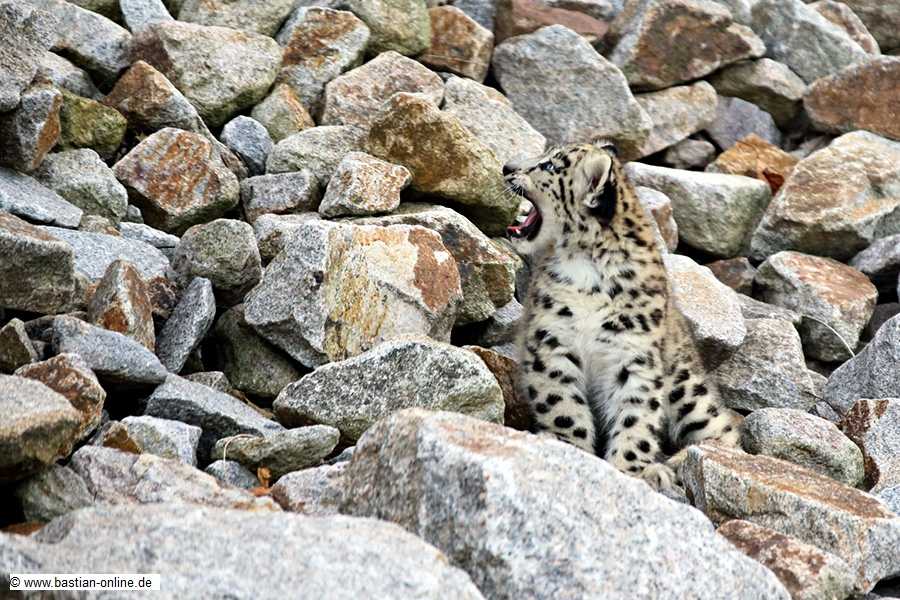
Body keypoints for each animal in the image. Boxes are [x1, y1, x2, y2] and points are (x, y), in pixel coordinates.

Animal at [503, 141, 742, 491]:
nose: (506, 167)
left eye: (549, 166)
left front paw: (632, 470)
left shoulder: (633, 355)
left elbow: (636, 415)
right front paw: (571, 448)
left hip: (687, 387)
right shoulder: (552, 338)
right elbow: (563, 404)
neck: (587, 266)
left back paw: (685, 460)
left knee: (720, 428)